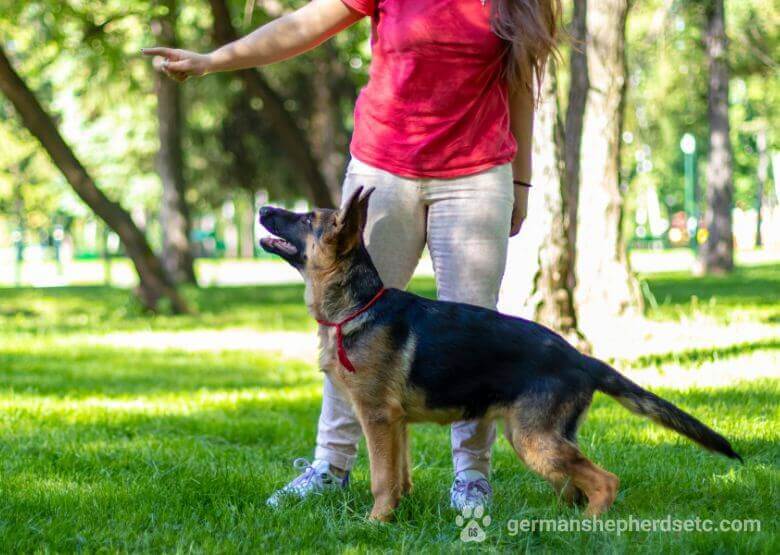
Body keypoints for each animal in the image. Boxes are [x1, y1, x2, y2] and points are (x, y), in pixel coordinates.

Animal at [258, 189, 740, 524]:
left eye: (306, 219)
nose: (262, 209)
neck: (357, 306)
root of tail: (581, 359)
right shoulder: (395, 425)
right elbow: (397, 476)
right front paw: (396, 515)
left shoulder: (376, 417)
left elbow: (380, 479)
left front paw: (375, 524)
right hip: (538, 438)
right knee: (574, 484)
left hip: (533, 440)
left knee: (605, 481)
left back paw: (589, 527)